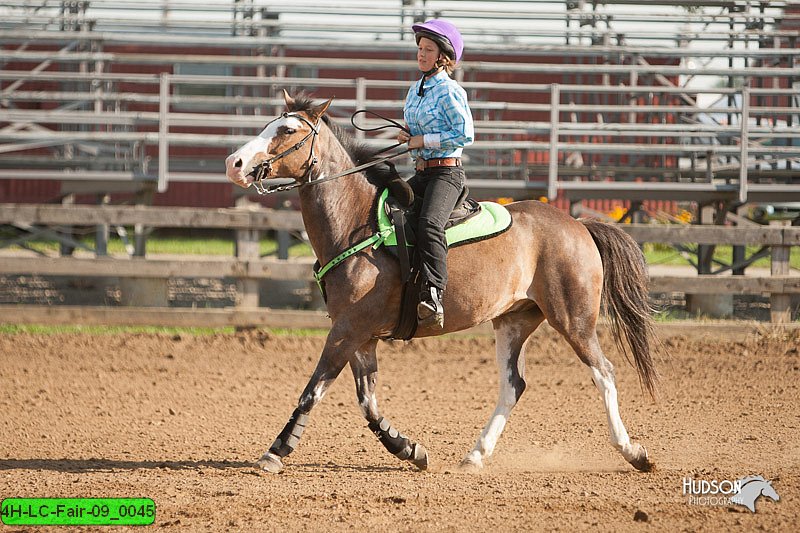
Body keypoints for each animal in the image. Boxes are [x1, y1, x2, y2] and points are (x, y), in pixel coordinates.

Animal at [223, 92, 656, 474]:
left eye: (287, 130)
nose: (234, 162)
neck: (356, 223)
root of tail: (578, 225)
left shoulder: (347, 330)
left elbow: (312, 390)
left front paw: (276, 451)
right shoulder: (361, 335)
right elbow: (368, 403)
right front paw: (409, 449)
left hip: (574, 319)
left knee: (604, 373)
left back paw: (633, 452)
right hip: (513, 320)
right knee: (513, 386)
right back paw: (475, 455)